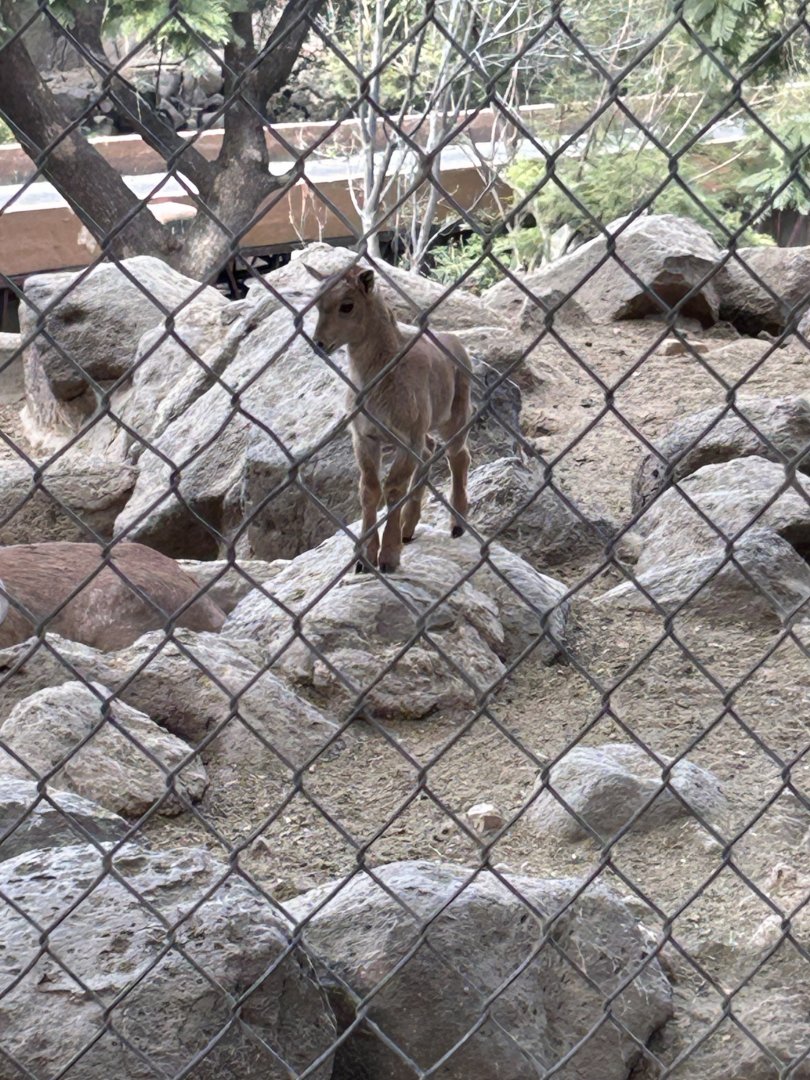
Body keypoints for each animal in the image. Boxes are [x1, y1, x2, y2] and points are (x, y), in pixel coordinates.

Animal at [304, 263, 472, 573]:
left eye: (347, 305)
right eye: (317, 305)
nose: (319, 343)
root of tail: (455, 342)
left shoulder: (407, 438)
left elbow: (393, 488)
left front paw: (389, 558)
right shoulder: (365, 436)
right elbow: (369, 490)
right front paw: (364, 560)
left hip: (455, 414)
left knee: (458, 456)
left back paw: (456, 524)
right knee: (429, 452)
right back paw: (409, 528)